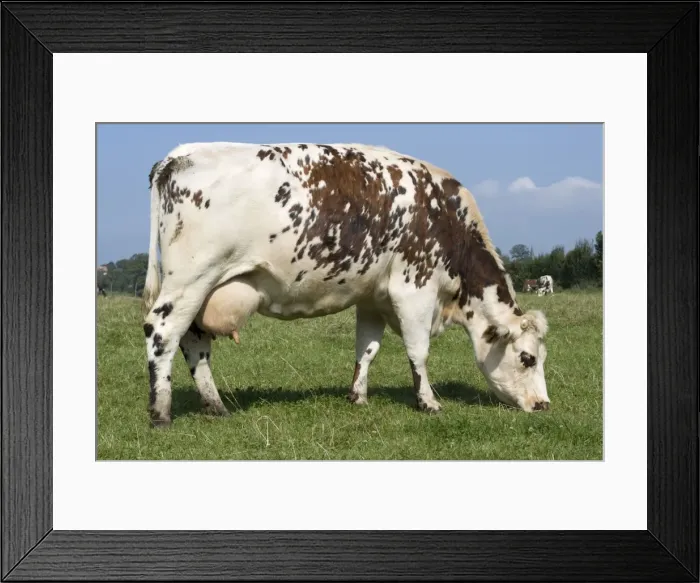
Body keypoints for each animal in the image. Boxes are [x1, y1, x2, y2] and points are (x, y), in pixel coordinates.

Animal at [141, 142, 551, 428]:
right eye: (527, 358)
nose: (544, 405)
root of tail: (178, 155)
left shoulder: (372, 296)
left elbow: (366, 349)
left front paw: (358, 396)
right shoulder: (414, 288)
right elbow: (418, 352)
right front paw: (429, 402)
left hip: (201, 290)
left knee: (194, 341)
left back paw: (215, 405)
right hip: (191, 279)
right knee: (162, 332)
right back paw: (161, 412)